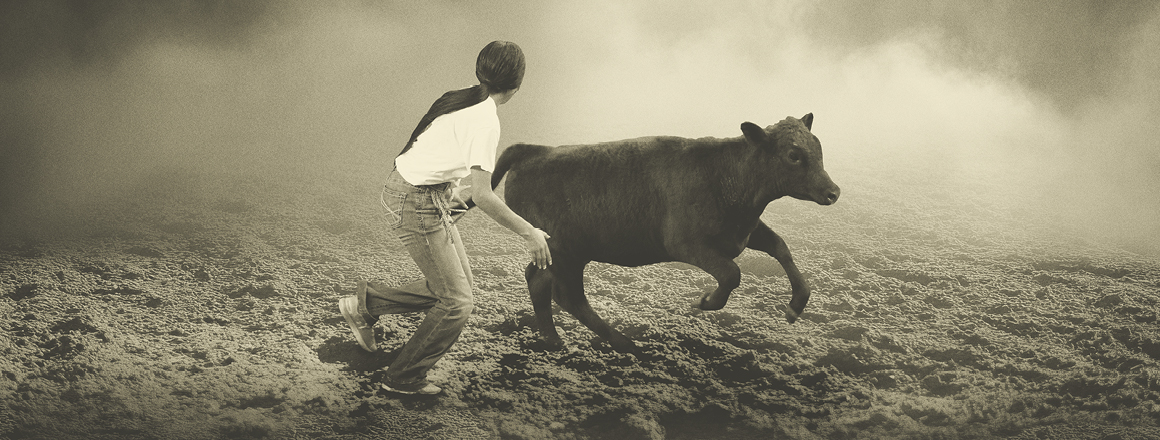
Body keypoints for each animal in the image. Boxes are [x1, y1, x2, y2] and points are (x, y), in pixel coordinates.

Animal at [481, 114, 839, 353]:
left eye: (818, 148)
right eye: (794, 155)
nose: (833, 192)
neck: (726, 174)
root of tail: (535, 150)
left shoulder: (745, 232)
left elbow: (780, 247)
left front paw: (797, 304)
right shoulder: (686, 244)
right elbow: (732, 273)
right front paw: (706, 301)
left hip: (557, 251)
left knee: (539, 281)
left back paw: (556, 339)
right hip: (566, 251)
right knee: (568, 295)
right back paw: (619, 342)